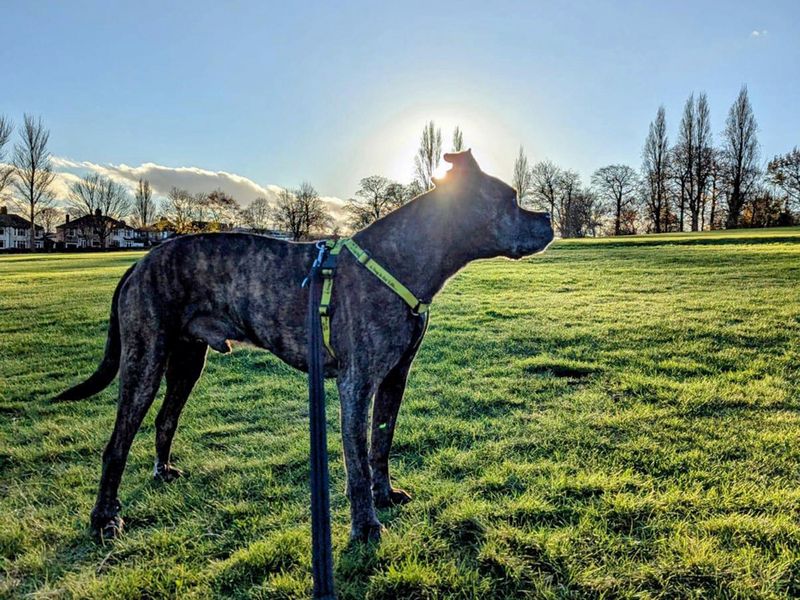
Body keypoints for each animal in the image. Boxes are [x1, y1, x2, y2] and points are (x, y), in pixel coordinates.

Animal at [57, 149, 556, 540]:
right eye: (510, 198)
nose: (548, 218)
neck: (404, 258)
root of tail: (140, 261)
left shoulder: (394, 379)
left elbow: (381, 444)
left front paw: (384, 495)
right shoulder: (356, 385)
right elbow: (356, 462)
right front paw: (365, 527)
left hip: (186, 359)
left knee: (165, 419)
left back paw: (162, 472)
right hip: (145, 360)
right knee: (117, 443)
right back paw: (104, 519)